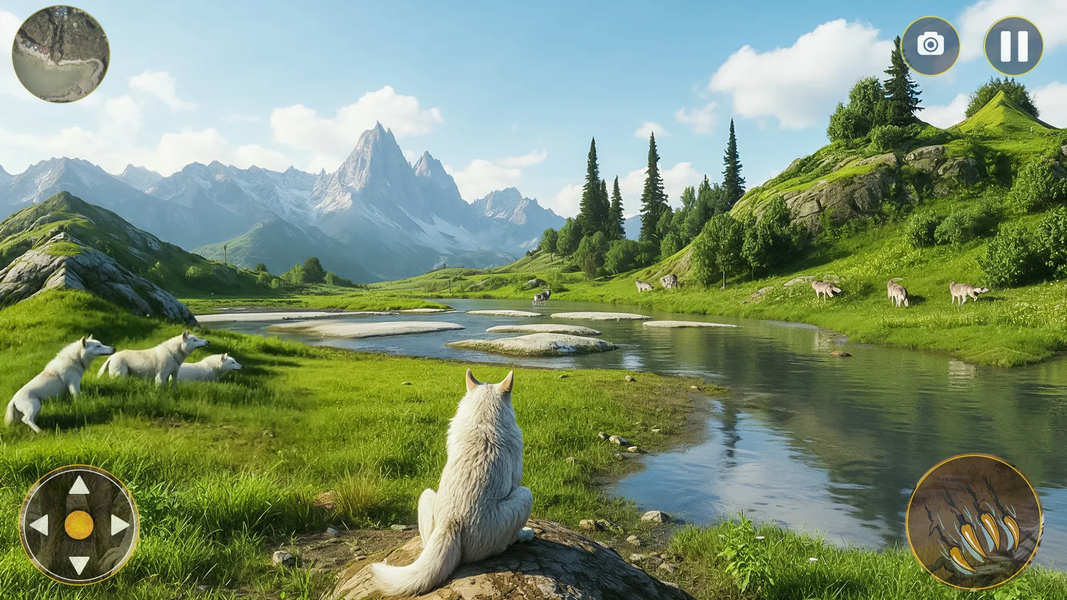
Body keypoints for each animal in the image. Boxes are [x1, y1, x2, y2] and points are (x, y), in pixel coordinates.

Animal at [371, 369, 535, 596]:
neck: (485, 419)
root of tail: (452, 522)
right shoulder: (516, 478)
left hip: (426, 496)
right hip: (525, 496)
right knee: (509, 538)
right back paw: (524, 535)